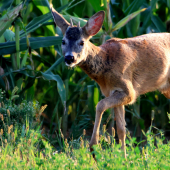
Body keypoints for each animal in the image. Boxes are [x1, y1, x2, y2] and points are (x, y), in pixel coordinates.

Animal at [51, 7, 170, 157]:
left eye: (82, 42)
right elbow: (121, 129)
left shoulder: (129, 91)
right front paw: (124, 157)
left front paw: (93, 147)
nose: (69, 58)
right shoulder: (114, 92)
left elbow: (100, 105)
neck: (106, 63)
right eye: (63, 41)